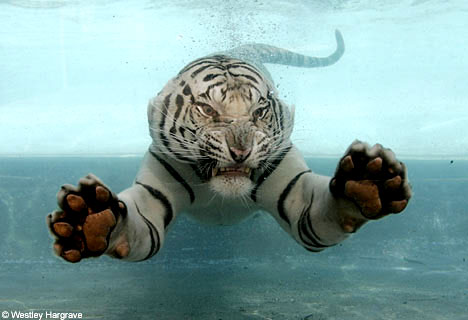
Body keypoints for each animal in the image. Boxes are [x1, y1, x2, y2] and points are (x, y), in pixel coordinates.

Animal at [47, 30, 412, 262]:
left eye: (259, 111)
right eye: (208, 110)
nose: (240, 151)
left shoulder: (296, 193)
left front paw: (366, 184)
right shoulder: (152, 198)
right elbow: (130, 225)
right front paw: (89, 221)